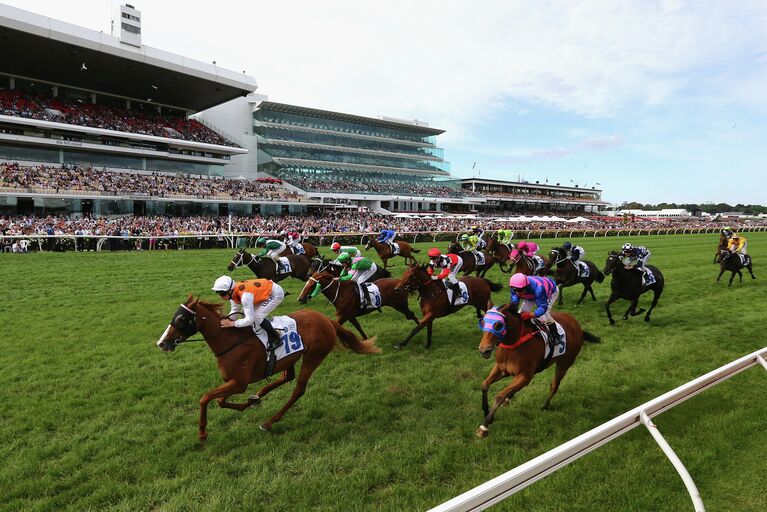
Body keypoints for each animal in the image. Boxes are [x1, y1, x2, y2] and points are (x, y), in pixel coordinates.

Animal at [155, 296, 380, 440]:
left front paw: (202, 433)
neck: (231, 342)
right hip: (290, 358)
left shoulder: (239, 383)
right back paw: (258, 397)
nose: (162, 343)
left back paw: (269, 422)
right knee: (286, 377)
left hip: (313, 356)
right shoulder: (233, 382)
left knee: (298, 389)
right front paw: (250, 402)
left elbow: (205, 398)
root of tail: (327, 320)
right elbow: (219, 401)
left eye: (181, 319)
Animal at [474, 306, 600, 438]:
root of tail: (577, 325)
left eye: (498, 325)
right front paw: (486, 410)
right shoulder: (502, 369)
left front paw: (485, 425)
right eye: (483, 322)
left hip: (565, 362)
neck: (514, 344)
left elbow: (499, 396)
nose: (483, 350)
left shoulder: (525, 376)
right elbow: (485, 384)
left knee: (555, 385)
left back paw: (545, 406)